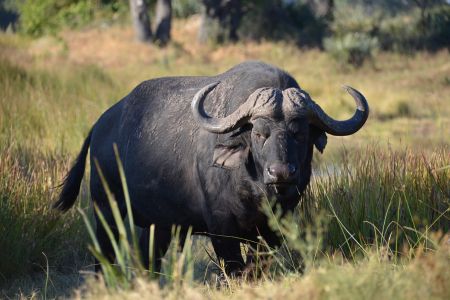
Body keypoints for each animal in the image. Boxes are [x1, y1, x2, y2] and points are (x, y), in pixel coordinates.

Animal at [53, 60, 370, 274]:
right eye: (259, 133)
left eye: (299, 133)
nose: (280, 173)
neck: (255, 191)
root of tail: (100, 126)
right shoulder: (221, 229)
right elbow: (234, 267)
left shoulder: (273, 229)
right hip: (106, 210)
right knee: (104, 255)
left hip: (160, 224)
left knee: (148, 257)